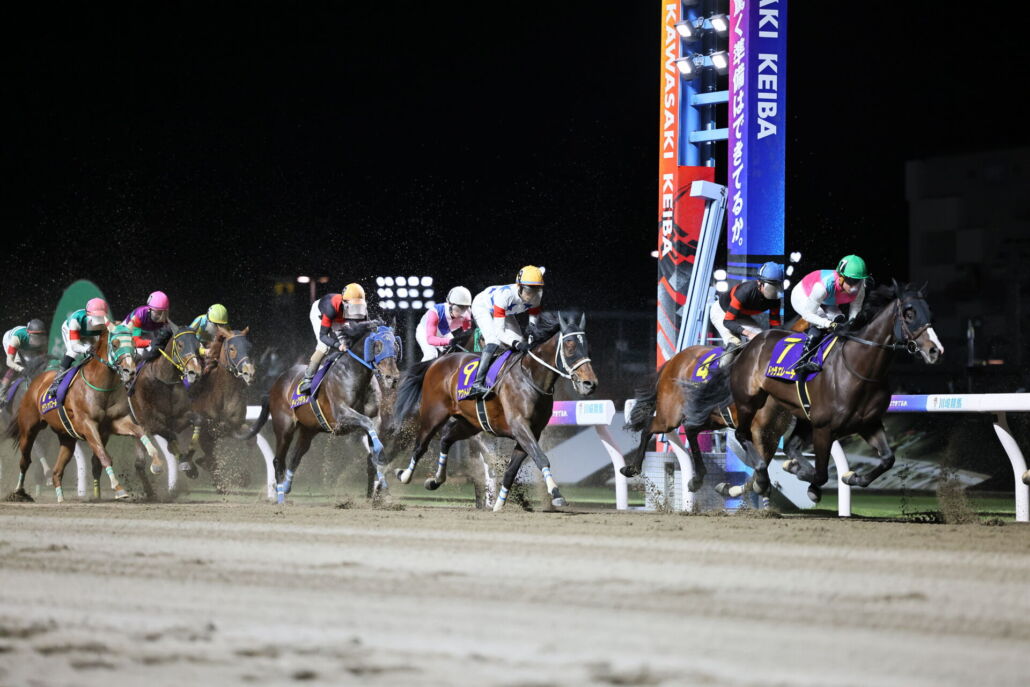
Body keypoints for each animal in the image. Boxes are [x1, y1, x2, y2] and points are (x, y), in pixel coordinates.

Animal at [5, 324, 157, 502]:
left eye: (133, 343)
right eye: (115, 344)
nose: (129, 371)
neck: (100, 385)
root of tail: (36, 382)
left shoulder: (114, 423)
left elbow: (139, 431)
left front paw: (156, 462)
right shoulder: (87, 425)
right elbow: (104, 456)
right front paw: (119, 489)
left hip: (67, 438)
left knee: (57, 471)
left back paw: (61, 499)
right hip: (29, 429)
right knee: (25, 461)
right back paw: (19, 492)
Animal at [125, 328, 205, 500]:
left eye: (198, 345)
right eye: (180, 345)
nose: (195, 372)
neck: (164, 381)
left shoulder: (178, 419)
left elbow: (198, 420)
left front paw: (189, 462)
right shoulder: (151, 423)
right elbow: (171, 436)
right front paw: (181, 459)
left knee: (139, 464)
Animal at [245, 320, 402, 503]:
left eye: (396, 346)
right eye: (377, 345)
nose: (393, 378)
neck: (355, 375)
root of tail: (275, 385)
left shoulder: (375, 419)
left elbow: (373, 450)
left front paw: (375, 492)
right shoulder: (341, 416)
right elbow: (366, 423)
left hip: (308, 430)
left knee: (295, 457)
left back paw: (286, 486)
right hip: (284, 428)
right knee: (278, 460)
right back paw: (281, 496)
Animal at [390, 312, 598, 511]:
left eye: (588, 348)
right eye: (570, 346)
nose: (590, 384)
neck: (530, 376)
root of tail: (437, 361)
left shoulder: (531, 432)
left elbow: (511, 470)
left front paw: (499, 504)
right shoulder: (520, 427)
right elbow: (541, 458)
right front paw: (556, 494)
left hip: (470, 424)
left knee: (446, 439)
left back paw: (435, 480)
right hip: (433, 415)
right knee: (420, 446)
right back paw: (404, 475)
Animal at [682, 282, 943, 502]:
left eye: (929, 311)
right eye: (909, 313)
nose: (935, 351)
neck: (858, 368)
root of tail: (751, 344)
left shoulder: (868, 423)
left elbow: (888, 459)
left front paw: (852, 476)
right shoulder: (823, 428)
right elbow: (820, 473)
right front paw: (800, 474)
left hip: (798, 412)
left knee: (787, 445)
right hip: (749, 401)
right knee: (741, 434)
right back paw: (758, 480)